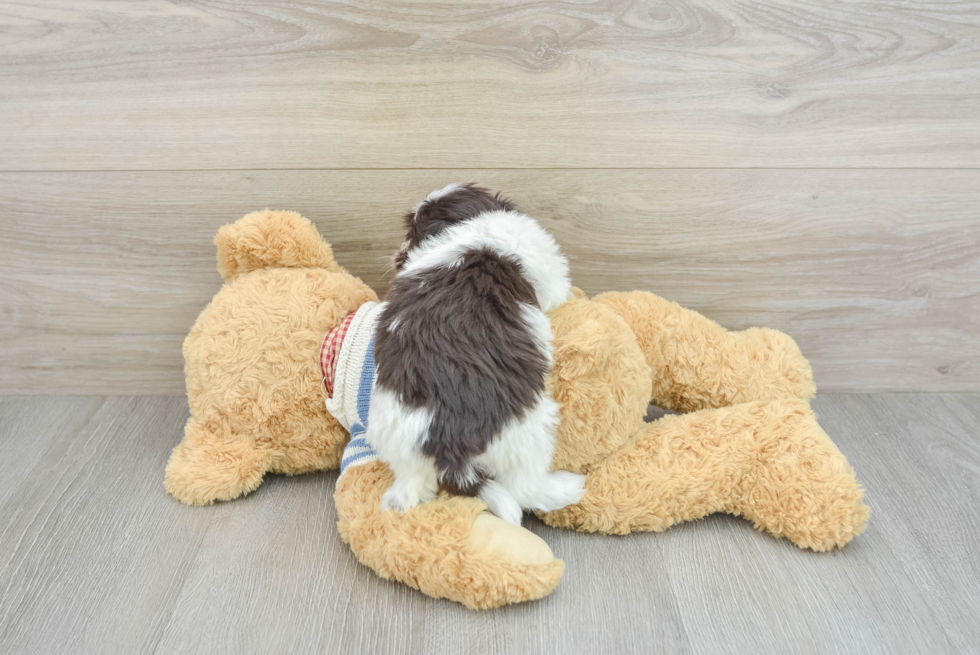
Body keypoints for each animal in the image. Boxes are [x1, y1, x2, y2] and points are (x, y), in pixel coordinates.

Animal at [366, 184, 580, 528]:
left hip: (396, 442)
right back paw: (566, 488)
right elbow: (559, 292)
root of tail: (446, 447)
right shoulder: (549, 274)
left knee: (410, 488)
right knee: (525, 487)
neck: (473, 225)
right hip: (529, 430)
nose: (397, 253)